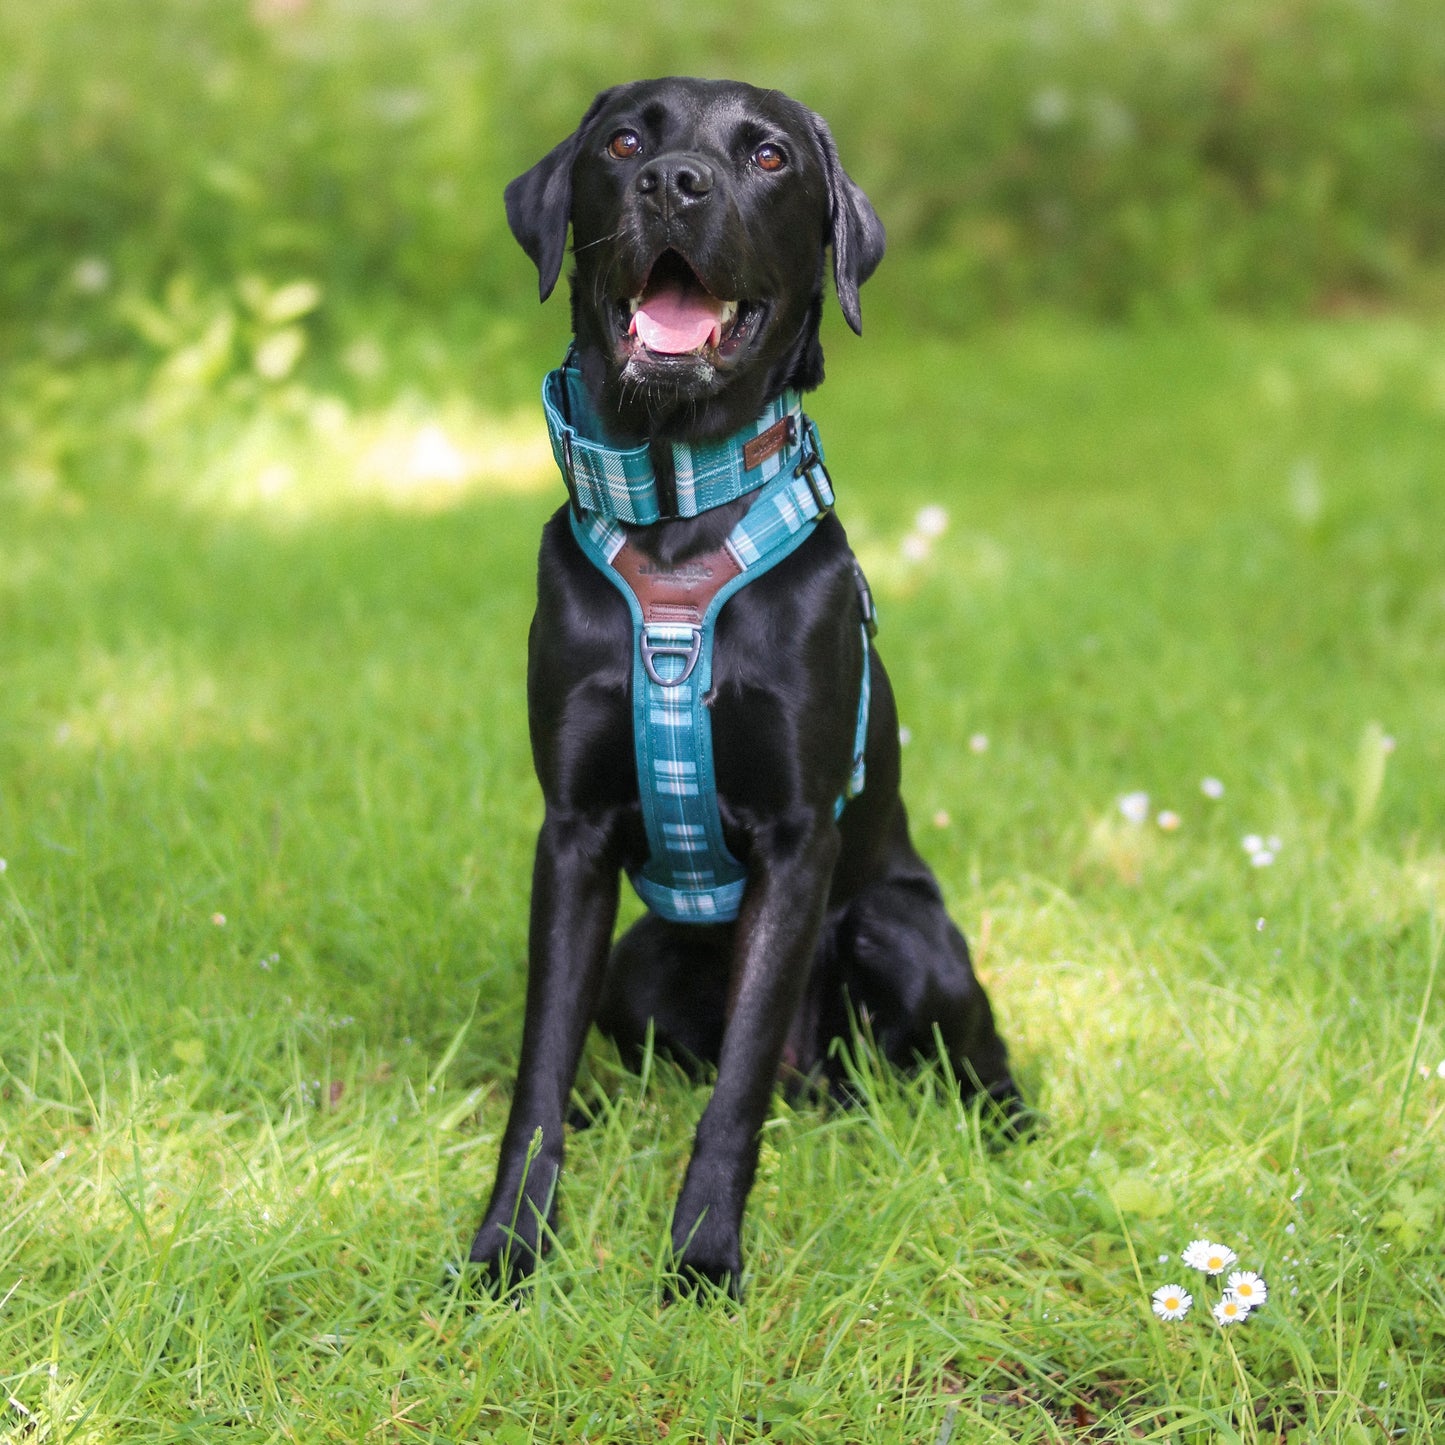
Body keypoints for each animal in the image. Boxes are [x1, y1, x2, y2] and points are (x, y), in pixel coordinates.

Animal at [468, 76, 1023, 1300]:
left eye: (768, 157)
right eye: (622, 139)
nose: (672, 183)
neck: (676, 514)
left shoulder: (796, 838)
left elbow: (732, 1094)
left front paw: (701, 1258)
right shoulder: (570, 831)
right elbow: (539, 1067)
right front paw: (507, 1246)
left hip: (898, 928)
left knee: (963, 1047)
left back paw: (1014, 1134)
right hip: (640, 961)